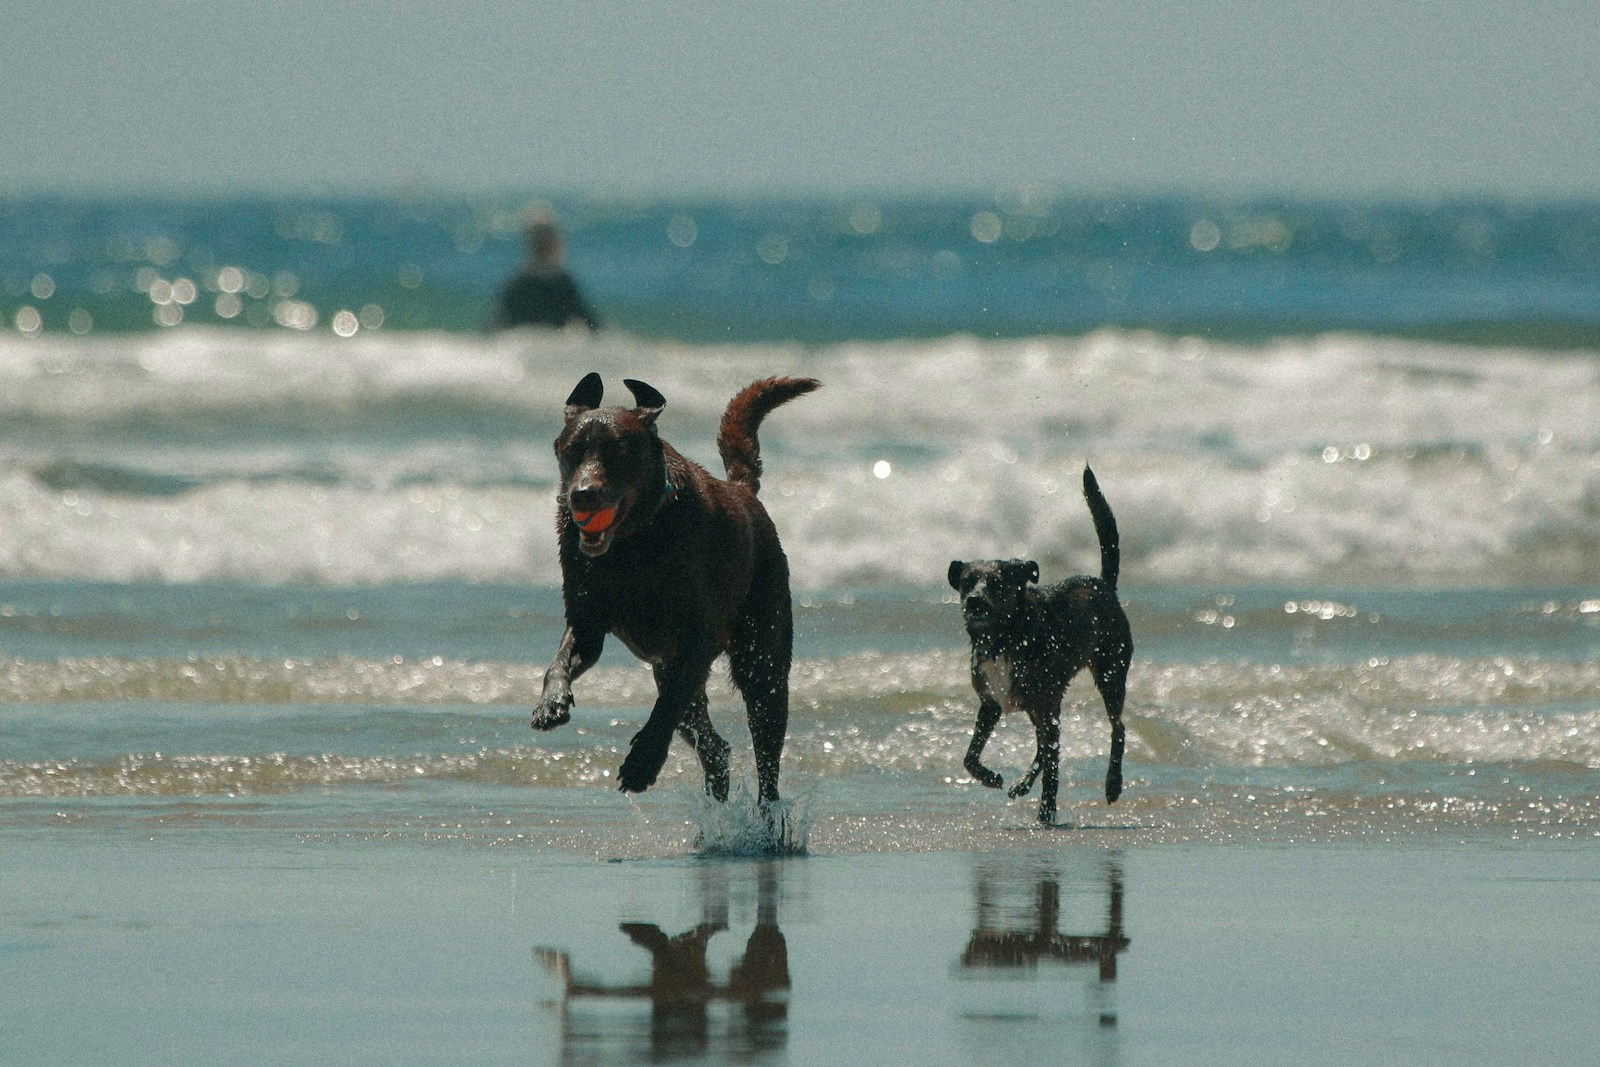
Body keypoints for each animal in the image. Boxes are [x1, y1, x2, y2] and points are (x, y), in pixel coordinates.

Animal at [531, 371, 819, 806]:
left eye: (617, 451)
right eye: (571, 451)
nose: (581, 495)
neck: (634, 542)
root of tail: (743, 491)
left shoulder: (699, 635)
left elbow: (666, 705)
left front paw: (643, 762)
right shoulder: (588, 622)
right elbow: (560, 662)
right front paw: (551, 703)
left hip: (761, 656)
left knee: (765, 747)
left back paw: (767, 816)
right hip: (671, 667)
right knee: (714, 747)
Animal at [940, 463, 1132, 825]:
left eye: (997, 583)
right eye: (968, 582)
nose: (974, 602)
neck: (1006, 638)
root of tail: (1104, 585)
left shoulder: (1045, 704)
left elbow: (1053, 768)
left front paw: (1047, 811)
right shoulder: (991, 703)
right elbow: (970, 757)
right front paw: (990, 777)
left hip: (1109, 674)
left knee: (1116, 727)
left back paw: (1112, 784)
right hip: (1040, 703)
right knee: (1044, 745)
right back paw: (1021, 784)